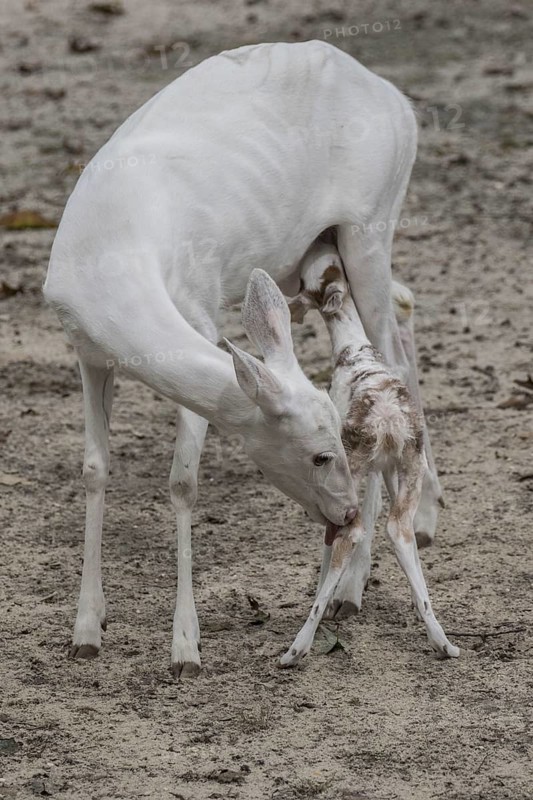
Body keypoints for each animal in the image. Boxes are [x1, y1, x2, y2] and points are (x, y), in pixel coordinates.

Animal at [280, 241, 459, 666]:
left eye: (306, 279)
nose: (324, 241)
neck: (354, 348)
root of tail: (388, 421)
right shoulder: (390, 471)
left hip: (353, 471)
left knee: (352, 531)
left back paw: (296, 648)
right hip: (411, 469)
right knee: (400, 532)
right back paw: (443, 642)